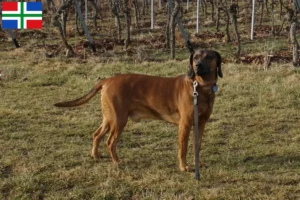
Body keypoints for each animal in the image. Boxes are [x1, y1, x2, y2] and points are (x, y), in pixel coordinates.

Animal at [54, 49, 223, 171]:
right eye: (195, 57)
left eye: (209, 57)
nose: (198, 65)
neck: (200, 87)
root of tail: (107, 80)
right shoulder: (185, 125)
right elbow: (183, 148)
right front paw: (184, 167)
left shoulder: (201, 124)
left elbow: (197, 146)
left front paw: (197, 164)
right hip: (119, 120)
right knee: (110, 142)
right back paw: (117, 162)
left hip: (109, 118)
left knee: (97, 134)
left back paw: (95, 155)